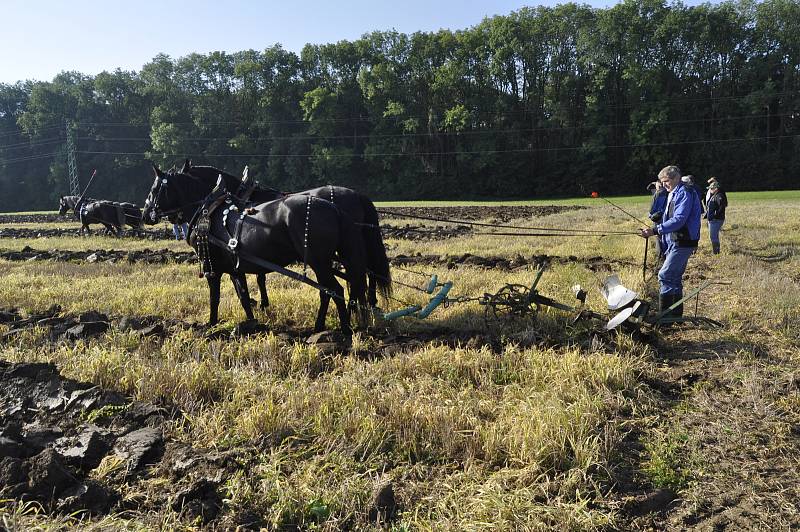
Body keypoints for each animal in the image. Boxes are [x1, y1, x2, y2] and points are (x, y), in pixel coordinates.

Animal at [141, 164, 368, 334]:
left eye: (154, 189)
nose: (144, 215)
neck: (209, 211)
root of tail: (334, 208)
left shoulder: (211, 267)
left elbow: (215, 297)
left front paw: (211, 325)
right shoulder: (235, 267)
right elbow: (243, 296)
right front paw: (252, 324)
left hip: (318, 261)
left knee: (335, 290)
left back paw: (345, 330)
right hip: (324, 262)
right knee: (330, 290)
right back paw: (322, 326)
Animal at [181, 160, 394, 310]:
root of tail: (358, 195)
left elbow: (258, 277)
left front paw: (261, 303)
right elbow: (258, 275)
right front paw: (260, 302)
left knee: (363, 272)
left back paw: (361, 304)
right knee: (365, 271)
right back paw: (368, 302)